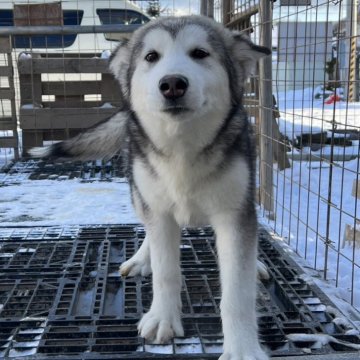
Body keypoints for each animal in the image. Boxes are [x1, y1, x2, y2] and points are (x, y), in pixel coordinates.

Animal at [31, 14, 270, 360]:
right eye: (151, 57)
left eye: (200, 53)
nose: (172, 84)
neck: (182, 150)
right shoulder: (158, 209)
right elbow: (165, 271)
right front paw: (162, 318)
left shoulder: (234, 212)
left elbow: (237, 291)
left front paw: (242, 349)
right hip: (138, 189)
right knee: (149, 230)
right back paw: (142, 258)